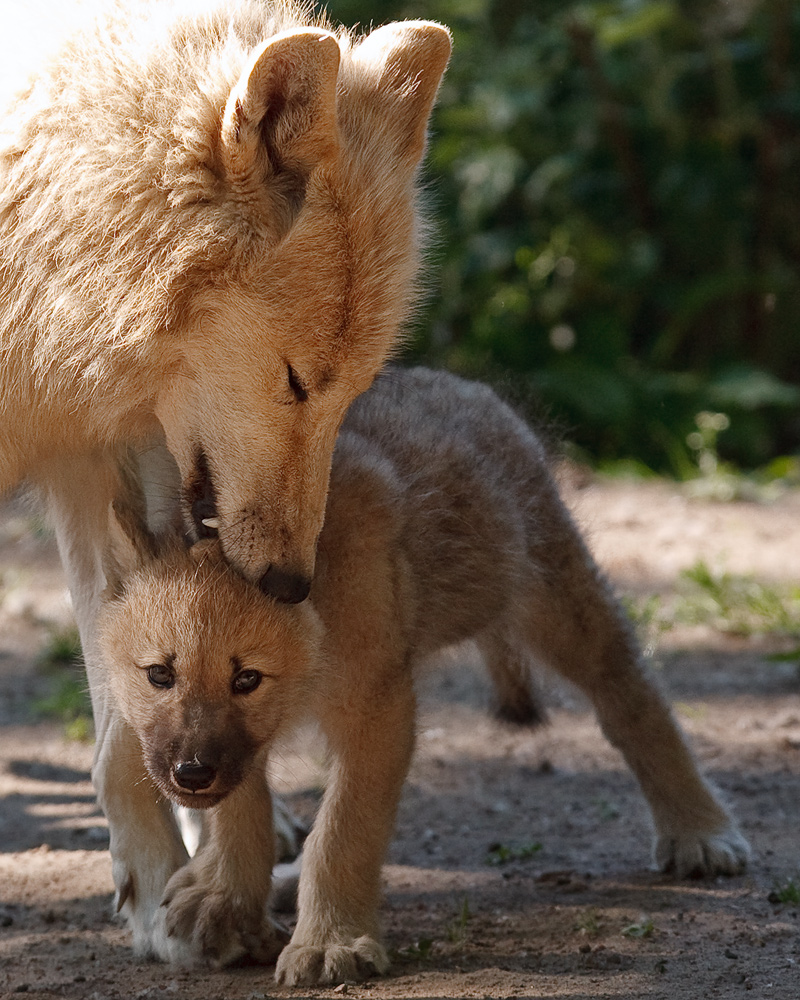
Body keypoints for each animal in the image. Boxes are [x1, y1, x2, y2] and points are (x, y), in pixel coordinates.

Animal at [0, 0, 446, 964]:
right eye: (297, 381)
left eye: (353, 388)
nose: (290, 584)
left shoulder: (97, 453)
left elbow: (122, 727)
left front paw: (164, 897)